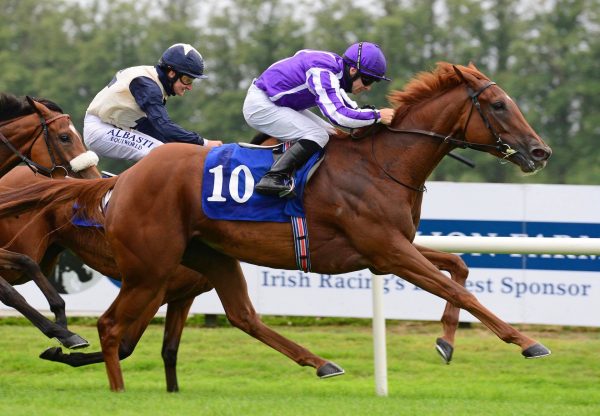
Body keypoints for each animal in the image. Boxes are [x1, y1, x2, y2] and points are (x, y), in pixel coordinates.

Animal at [0, 93, 100, 348]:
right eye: (64, 137)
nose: (94, 177)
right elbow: (10, 292)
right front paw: (62, 332)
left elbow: (27, 262)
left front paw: (62, 322)